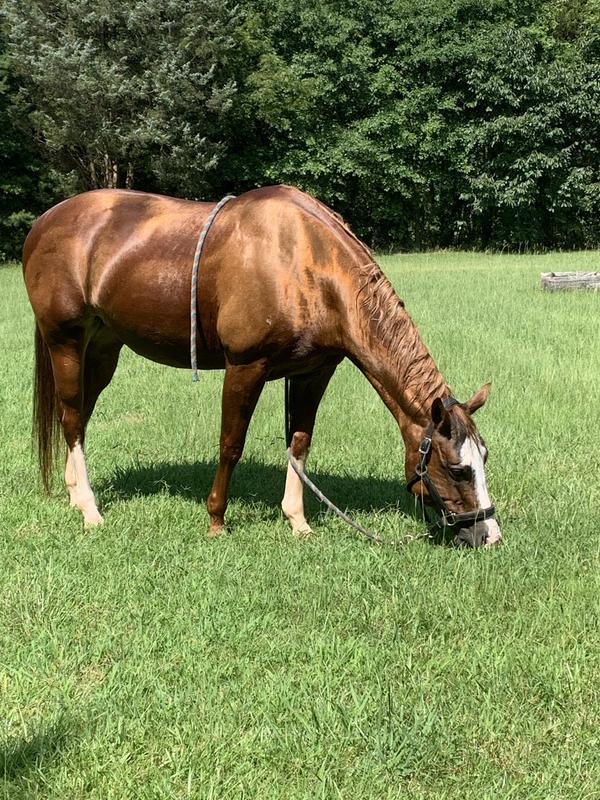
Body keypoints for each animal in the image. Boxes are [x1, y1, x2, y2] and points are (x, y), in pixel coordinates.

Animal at [23, 184, 502, 547]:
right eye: (457, 469)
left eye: (483, 459)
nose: (490, 535)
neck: (306, 265)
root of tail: (43, 223)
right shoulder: (245, 368)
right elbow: (231, 445)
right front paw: (216, 520)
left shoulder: (313, 373)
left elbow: (300, 445)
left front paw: (298, 521)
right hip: (64, 340)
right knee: (71, 417)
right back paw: (90, 510)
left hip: (103, 347)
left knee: (77, 415)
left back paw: (74, 494)